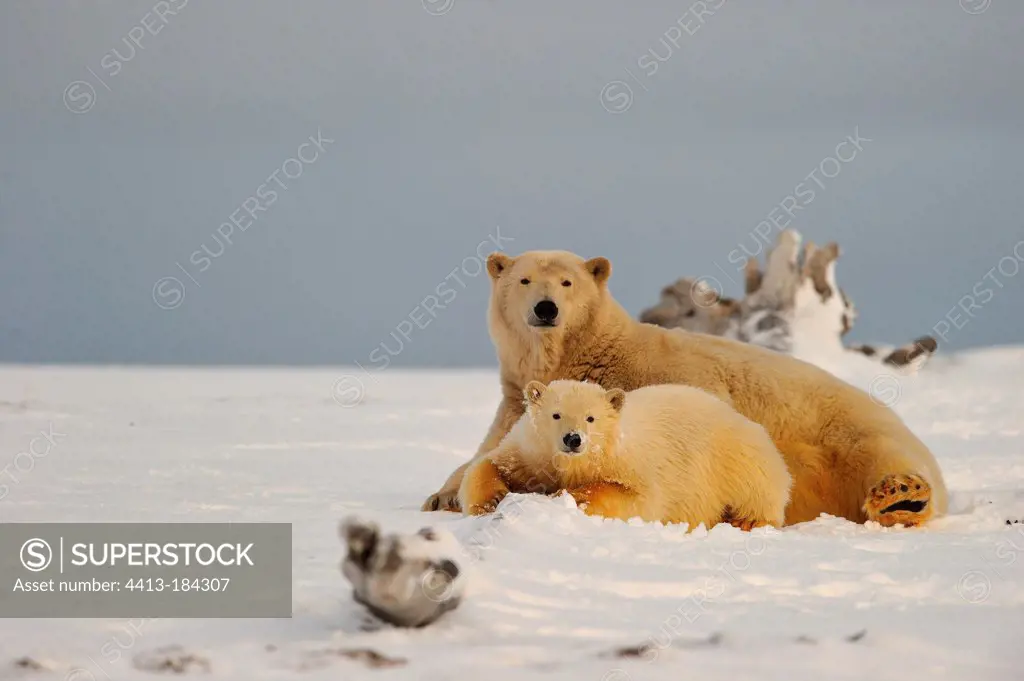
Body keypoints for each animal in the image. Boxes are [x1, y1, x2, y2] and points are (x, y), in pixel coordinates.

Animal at [421, 249, 942, 524]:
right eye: (525, 279)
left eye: (567, 283)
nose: (545, 308)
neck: (593, 354)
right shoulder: (515, 403)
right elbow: (486, 454)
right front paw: (442, 496)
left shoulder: (674, 379)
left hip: (851, 435)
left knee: (885, 459)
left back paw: (902, 494)